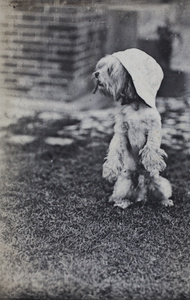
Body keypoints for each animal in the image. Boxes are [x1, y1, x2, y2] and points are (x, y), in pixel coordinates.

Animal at [93, 48, 173, 209]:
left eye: (110, 70)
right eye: (101, 67)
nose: (96, 74)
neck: (136, 104)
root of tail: (141, 187)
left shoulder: (154, 128)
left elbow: (151, 146)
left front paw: (152, 162)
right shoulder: (120, 131)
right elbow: (114, 148)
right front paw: (110, 169)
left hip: (160, 184)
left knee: (159, 193)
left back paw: (165, 201)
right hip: (123, 184)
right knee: (117, 196)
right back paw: (122, 203)